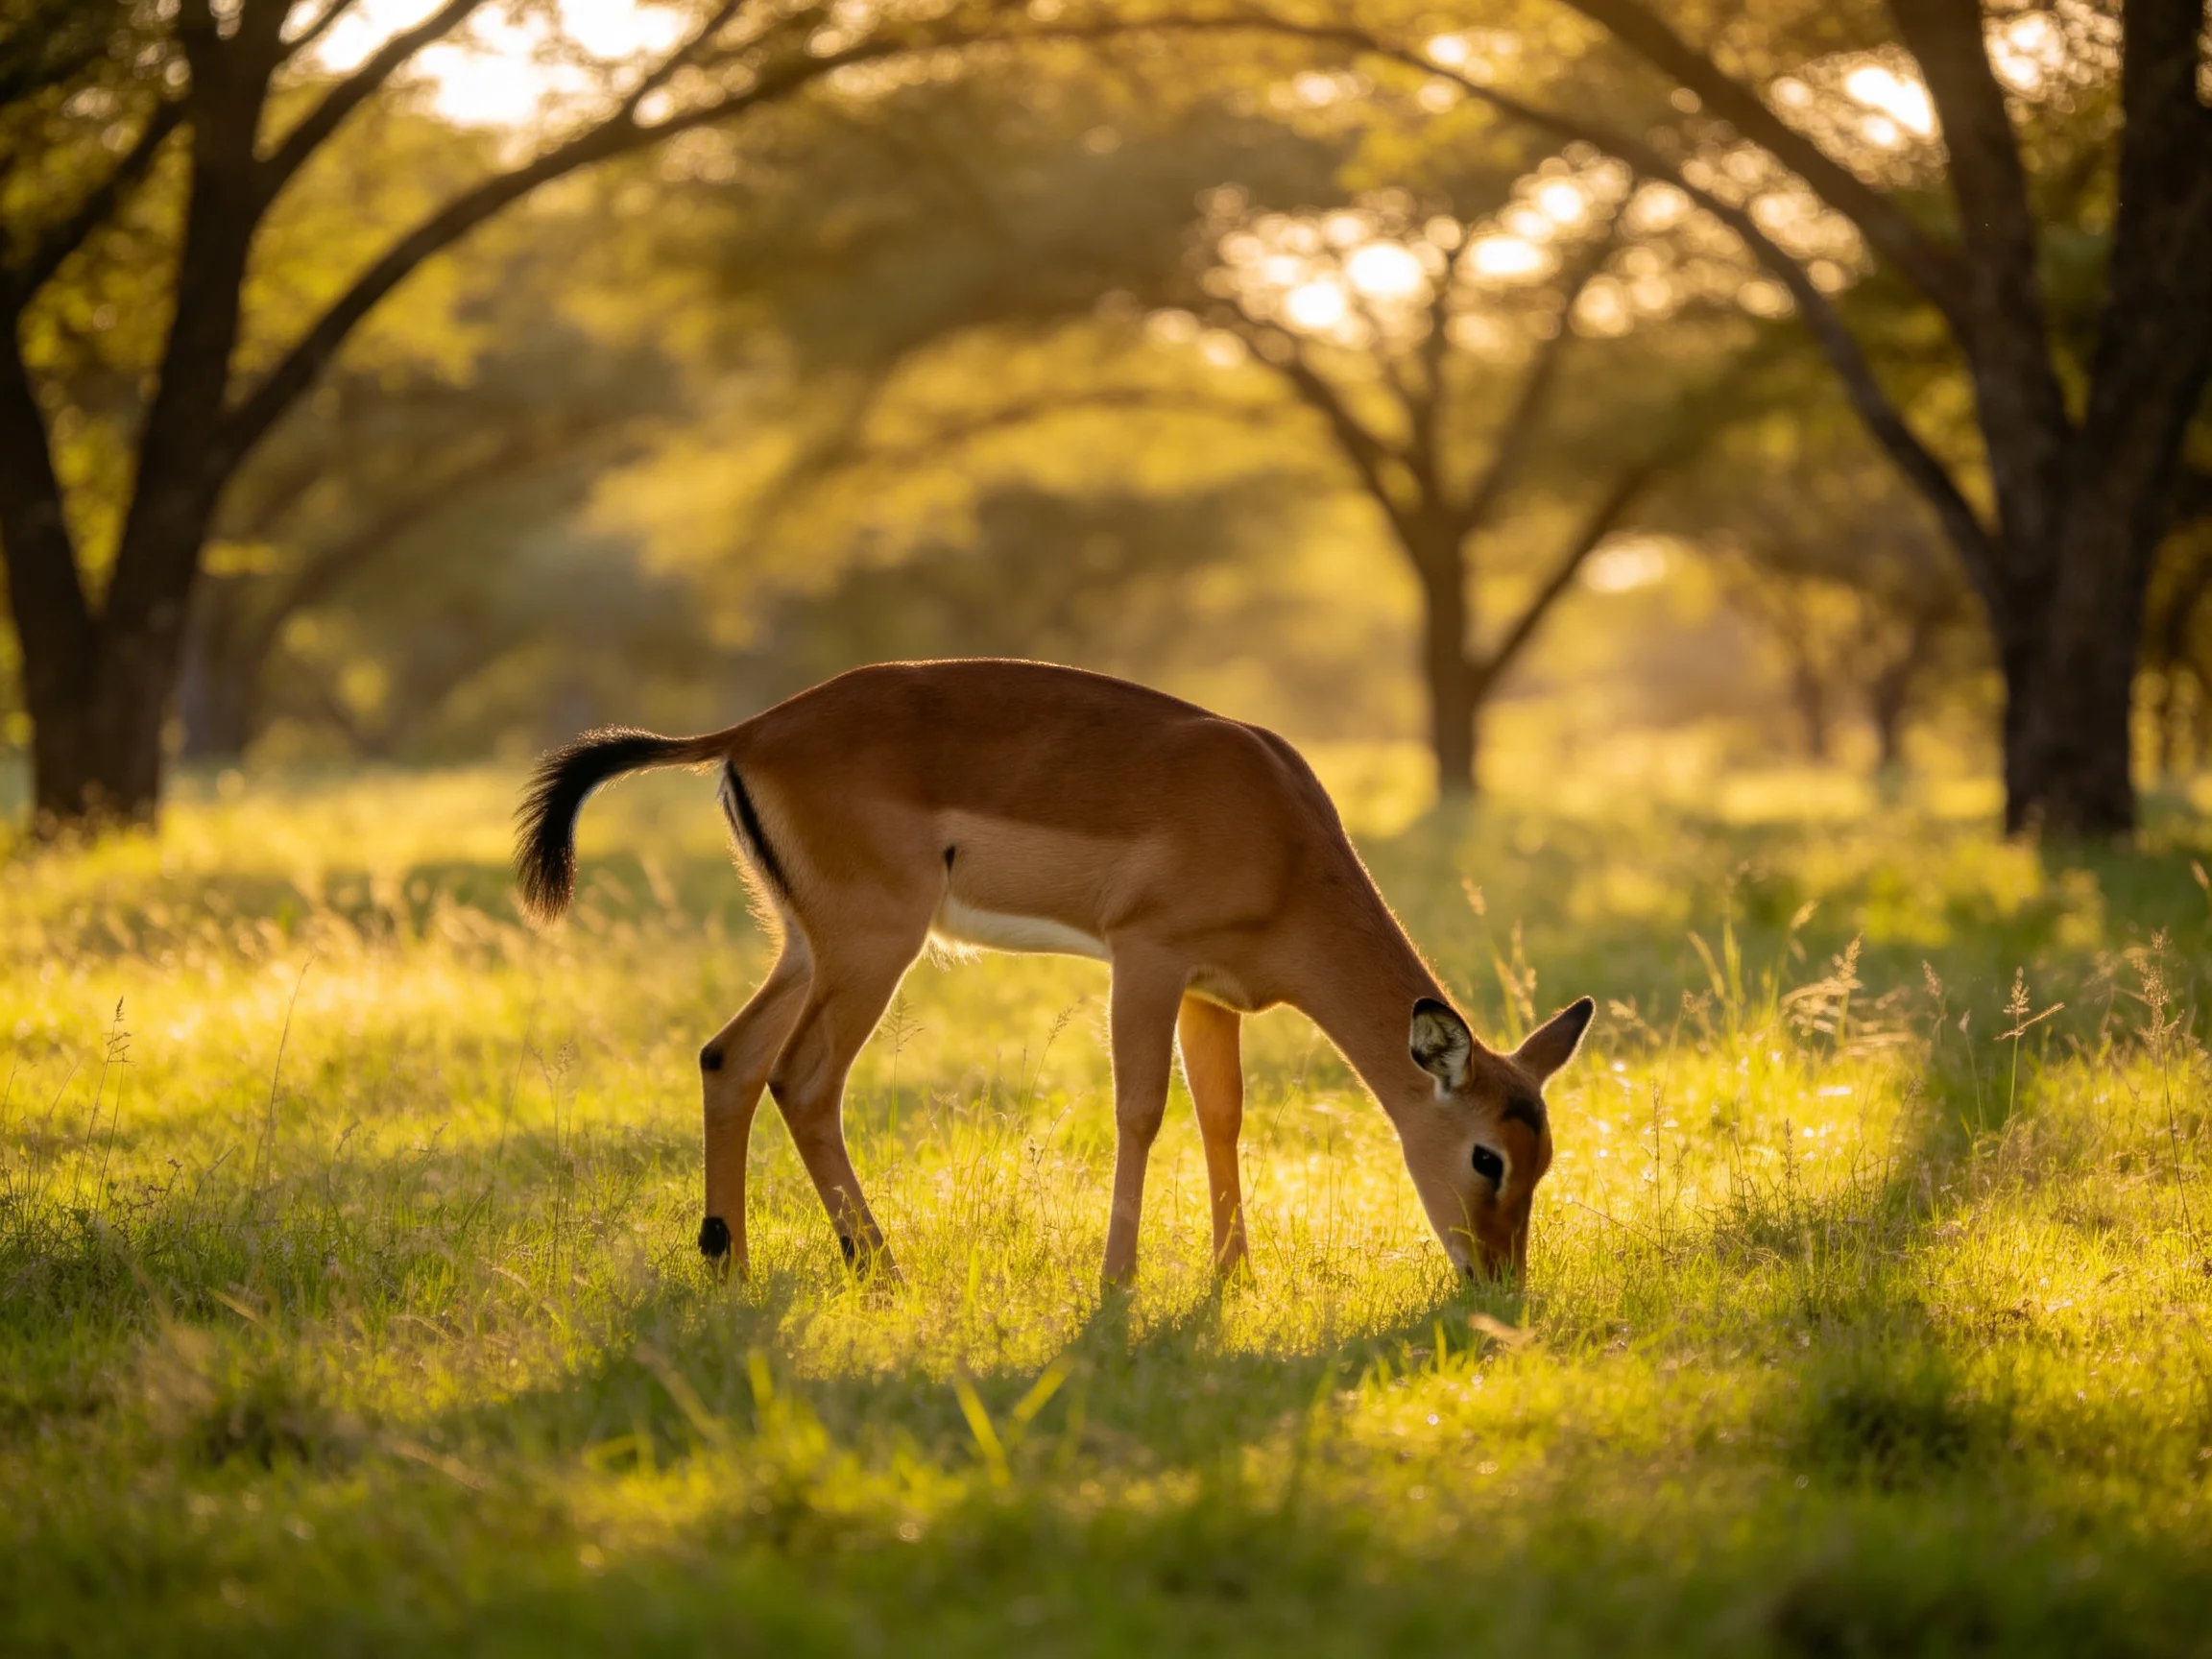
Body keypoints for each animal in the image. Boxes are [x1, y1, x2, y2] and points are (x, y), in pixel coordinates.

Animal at [515, 660, 1592, 1286]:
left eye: (1543, 1158)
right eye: (1488, 1158)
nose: (1501, 1283)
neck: (1283, 837)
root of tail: (747, 733)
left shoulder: (1212, 993)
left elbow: (1223, 1115)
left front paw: (1235, 1280)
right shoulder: (1146, 958)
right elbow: (1141, 1110)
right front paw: (1118, 1289)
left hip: (804, 945)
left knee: (728, 1058)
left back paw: (729, 1265)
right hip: (873, 949)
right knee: (803, 1079)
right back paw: (881, 1270)